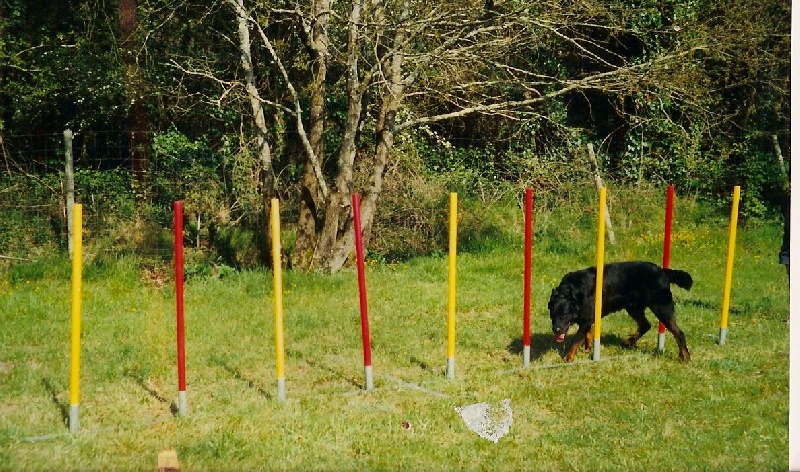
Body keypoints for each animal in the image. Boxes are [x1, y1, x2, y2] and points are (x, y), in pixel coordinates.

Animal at [552, 262, 692, 362]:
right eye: (552, 315)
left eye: (564, 315)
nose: (556, 329)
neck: (574, 292)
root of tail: (663, 271)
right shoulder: (587, 318)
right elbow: (586, 333)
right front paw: (588, 347)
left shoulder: (586, 319)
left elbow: (576, 338)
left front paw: (568, 357)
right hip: (633, 307)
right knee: (645, 325)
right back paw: (628, 342)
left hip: (661, 307)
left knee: (678, 332)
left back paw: (685, 356)